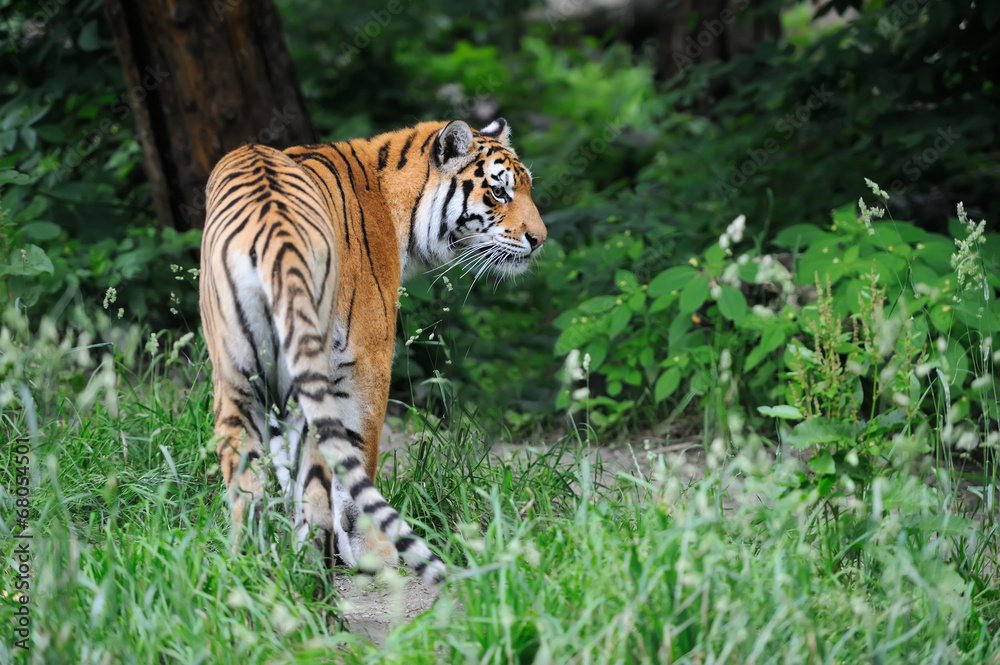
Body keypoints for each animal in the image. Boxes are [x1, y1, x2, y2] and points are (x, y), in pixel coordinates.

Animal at [199, 118, 546, 585]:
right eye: (499, 193)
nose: (539, 239)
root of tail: (273, 228)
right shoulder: (367, 359)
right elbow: (358, 453)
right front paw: (371, 551)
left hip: (235, 377)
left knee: (246, 489)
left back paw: (250, 574)